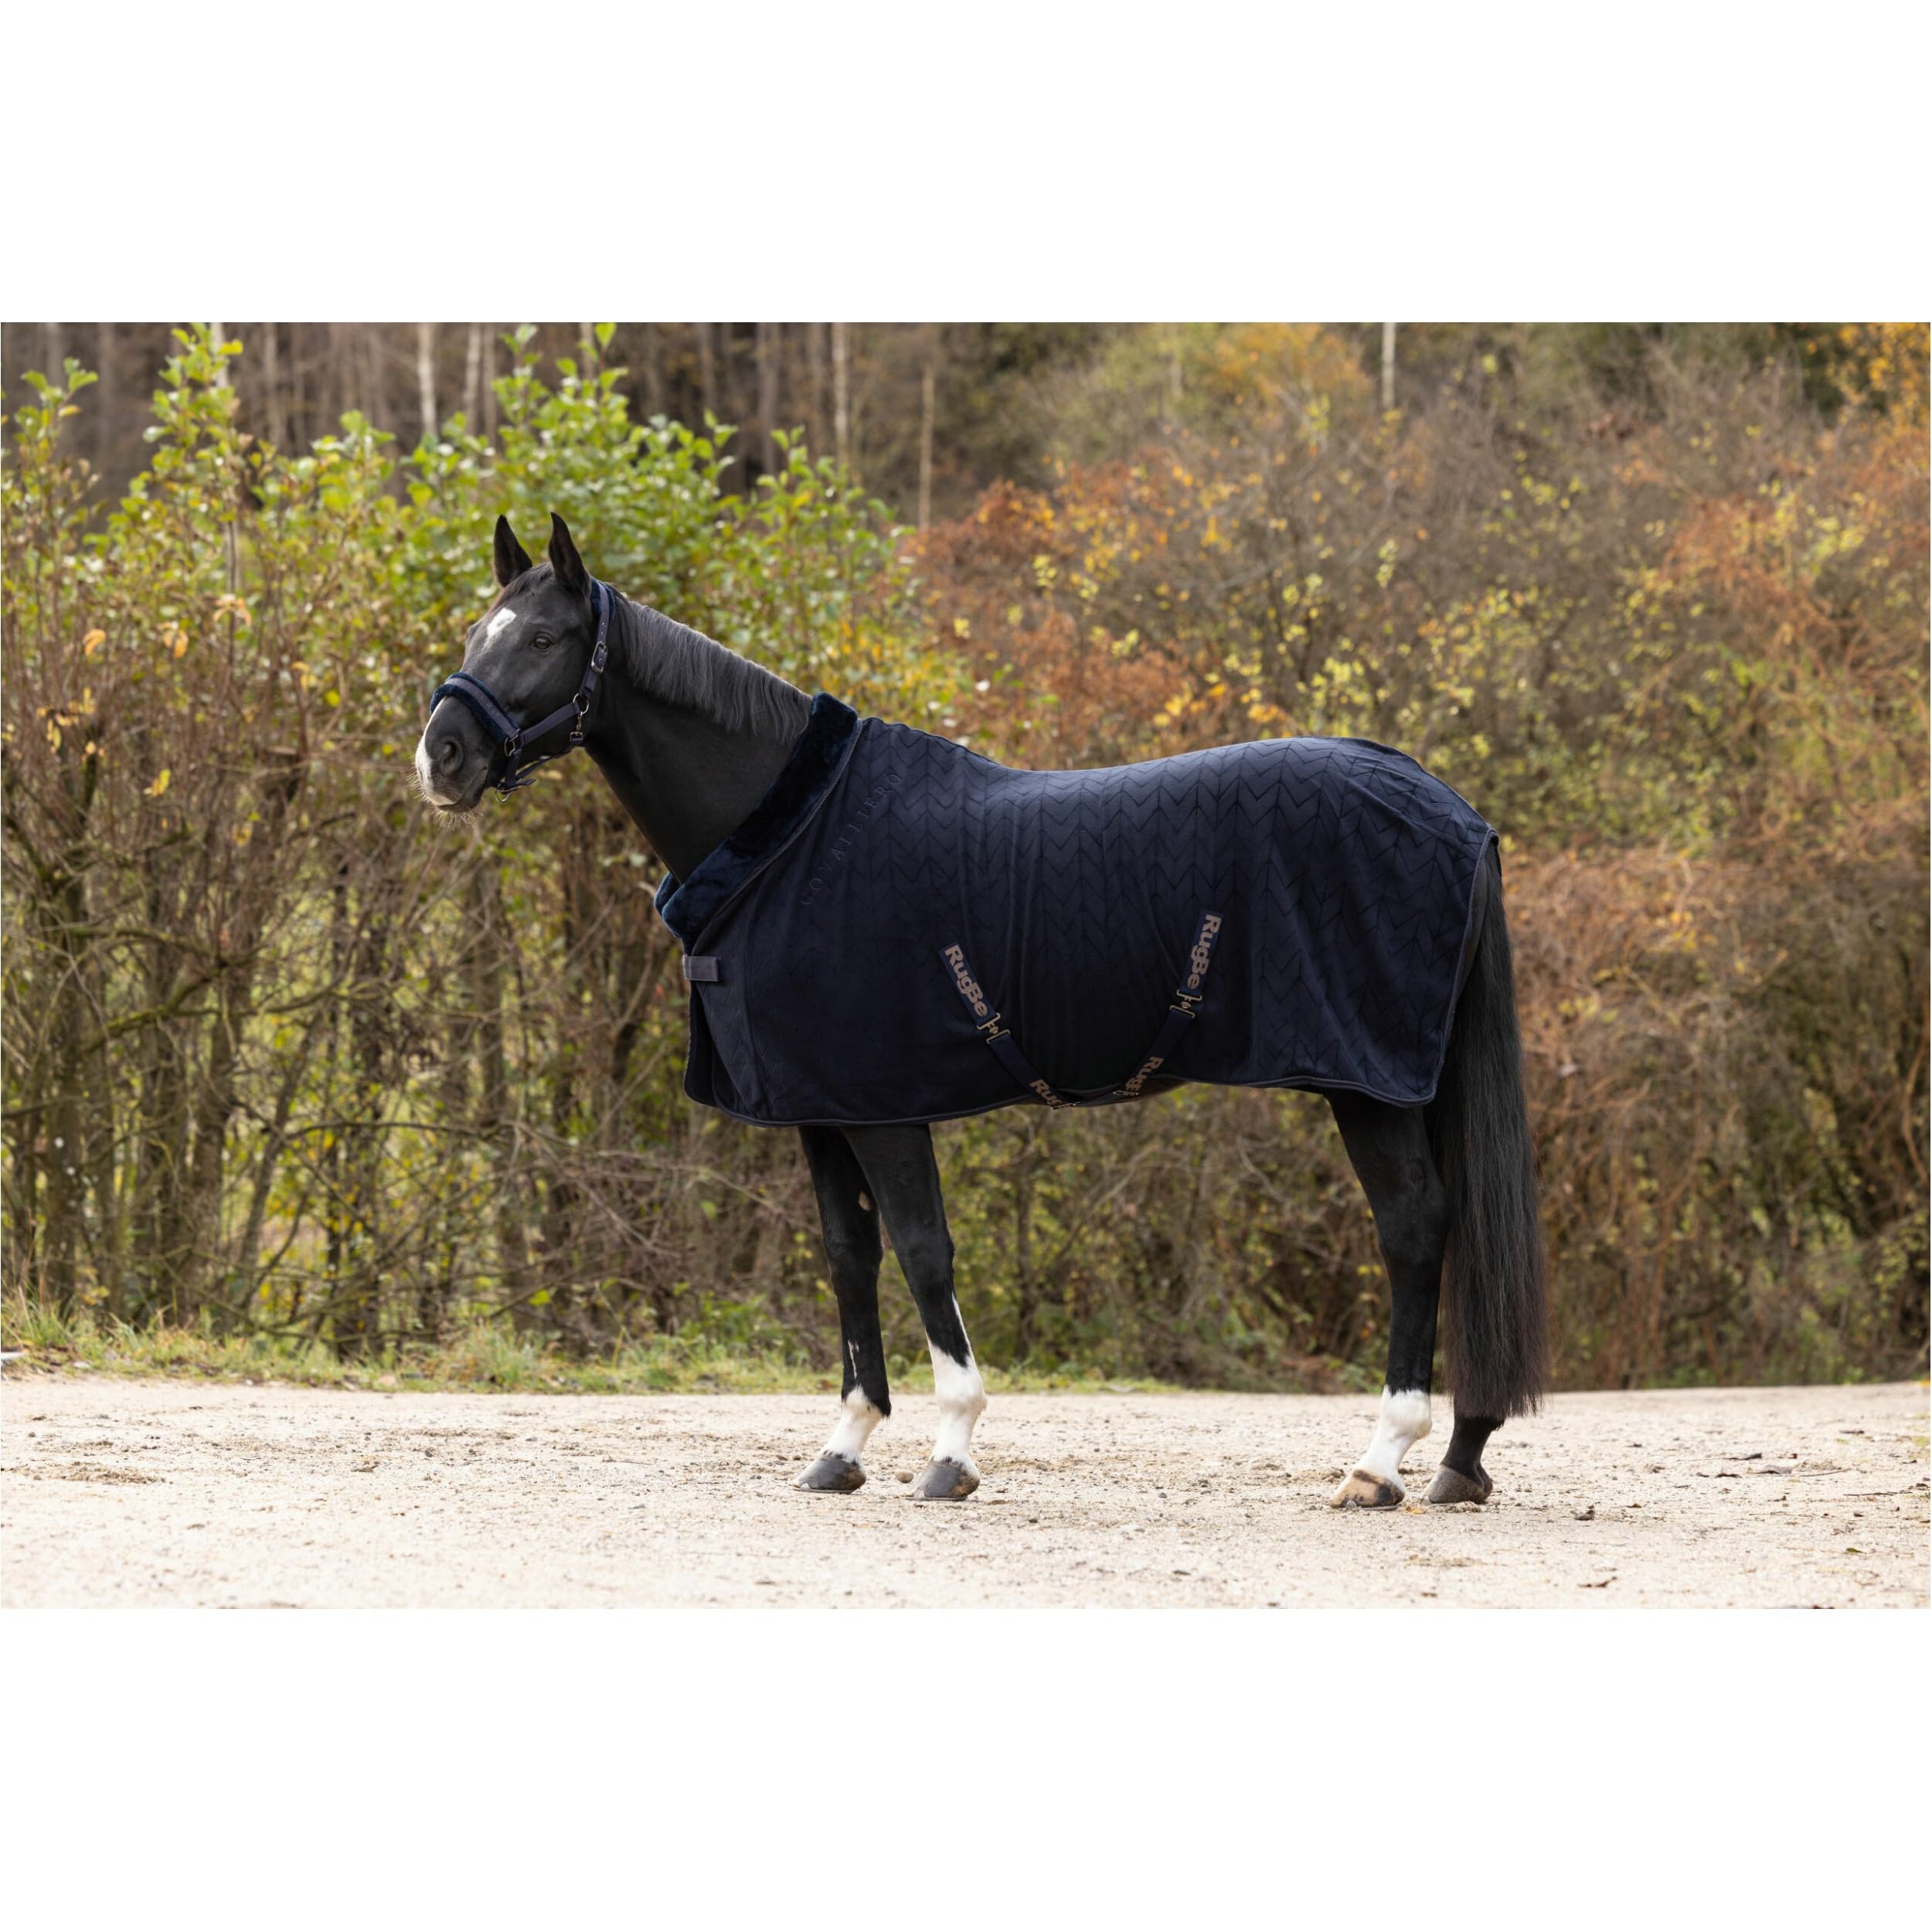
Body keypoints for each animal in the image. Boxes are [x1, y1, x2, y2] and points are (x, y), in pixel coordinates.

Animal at [416, 512, 1549, 1507]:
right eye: (476, 633)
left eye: (547, 637)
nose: (442, 758)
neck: (791, 836)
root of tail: (1452, 810)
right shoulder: (821, 1108)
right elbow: (850, 1256)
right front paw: (842, 1448)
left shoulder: (885, 1104)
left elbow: (923, 1250)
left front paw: (951, 1451)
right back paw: (1461, 1459)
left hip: (1370, 1085)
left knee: (1415, 1228)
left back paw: (1381, 1462)